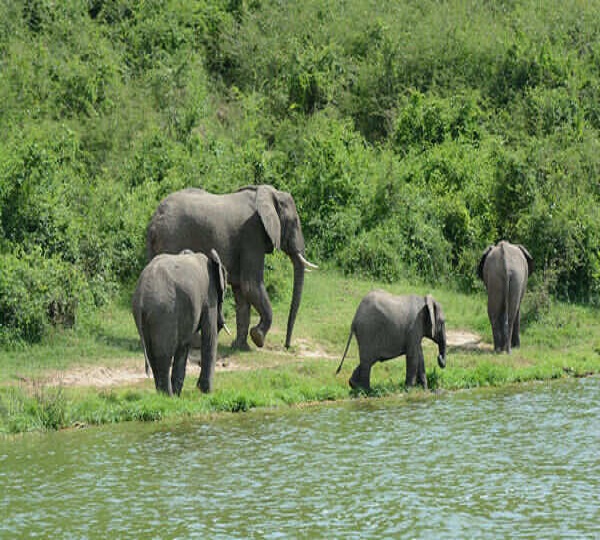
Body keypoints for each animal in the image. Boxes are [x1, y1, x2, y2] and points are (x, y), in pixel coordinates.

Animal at [132, 249, 227, 396]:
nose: (197, 386)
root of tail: (141, 295)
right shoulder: (209, 296)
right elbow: (209, 336)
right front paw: (207, 392)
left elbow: (184, 344)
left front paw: (179, 394)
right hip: (164, 312)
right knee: (164, 355)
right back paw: (168, 396)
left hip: (151, 317)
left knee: (152, 354)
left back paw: (164, 395)